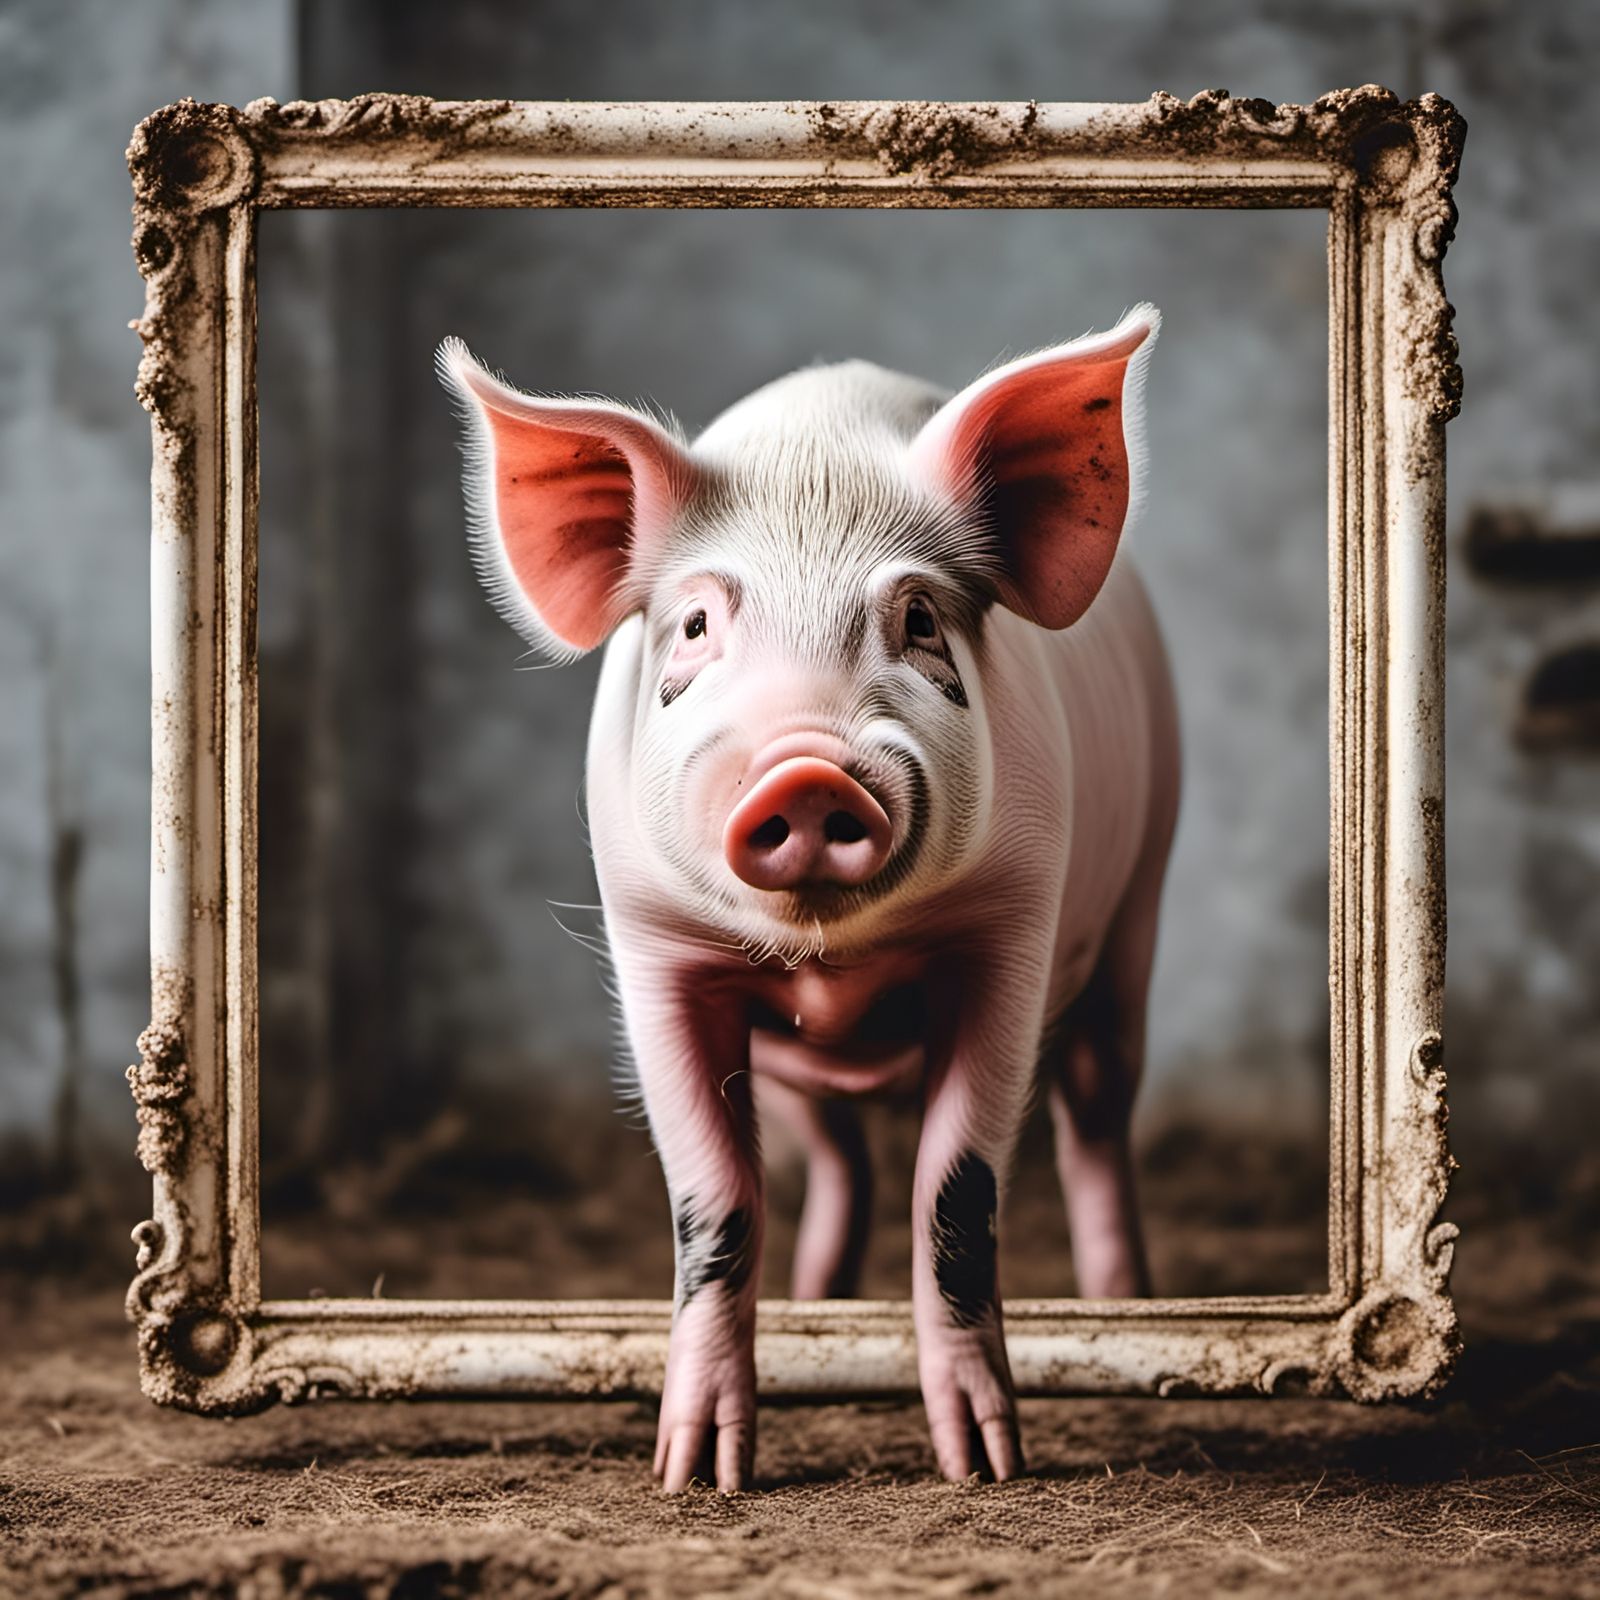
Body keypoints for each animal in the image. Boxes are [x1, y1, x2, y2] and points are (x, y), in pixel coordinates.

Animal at [438, 303, 1179, 1492]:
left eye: (918, 620)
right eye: (697, 626)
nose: (807, 770)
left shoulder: (1015, 928)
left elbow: (955, 1189)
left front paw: (983, 1465)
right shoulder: (656, 951)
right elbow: (715, 1197)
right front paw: (697, 1476)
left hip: (1138, 908)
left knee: (1098, 1115)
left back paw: (1124, 1317)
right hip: (792, 1066)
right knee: (835, 1163)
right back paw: (816, 1311)